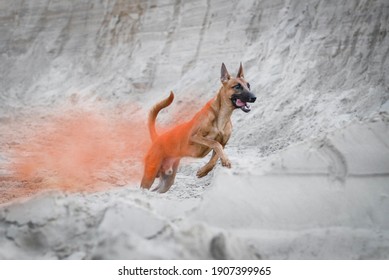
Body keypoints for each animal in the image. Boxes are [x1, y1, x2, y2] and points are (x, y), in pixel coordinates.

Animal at [139, 63, 255, 192]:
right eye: (237, 86)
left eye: (248, 85)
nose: (254, 97)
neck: (222, 116)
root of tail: (158, 138)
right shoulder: (194, 137)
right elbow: (214, 143)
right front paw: (222, 161)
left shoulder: (223, 143)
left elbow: (216, 155)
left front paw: (205, 170)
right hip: (150, 174)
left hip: (167, 181)